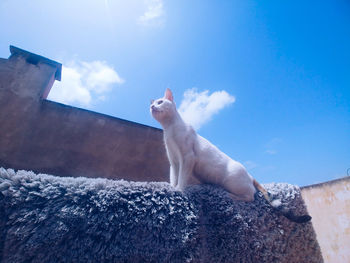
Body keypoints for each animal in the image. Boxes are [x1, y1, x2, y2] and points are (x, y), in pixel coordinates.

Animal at [150, 89, 312, 225]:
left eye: (160, 102)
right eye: (152, 103)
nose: (151, 107)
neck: (169, 129)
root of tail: (249, 175)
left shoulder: (188, 158)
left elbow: (182, 177)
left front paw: (179, 189)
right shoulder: (174, 162)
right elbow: (173, 176)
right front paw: (172, 187)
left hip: (231, 182)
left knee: (250, 196)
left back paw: (231, 196)